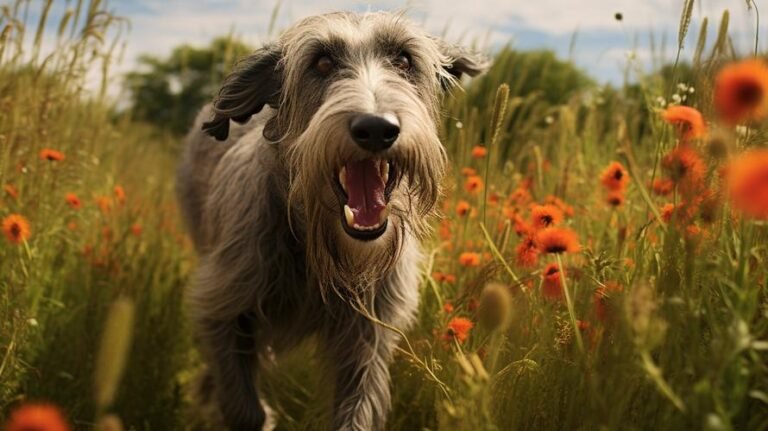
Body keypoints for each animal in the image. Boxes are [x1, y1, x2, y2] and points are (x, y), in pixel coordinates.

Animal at [177, 11, 484, 431]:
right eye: (321, 63)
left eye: (404, 59)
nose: (376, 128)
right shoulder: (224, 304)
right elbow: (243, 405)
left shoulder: (369, 336)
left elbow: (358, 410)